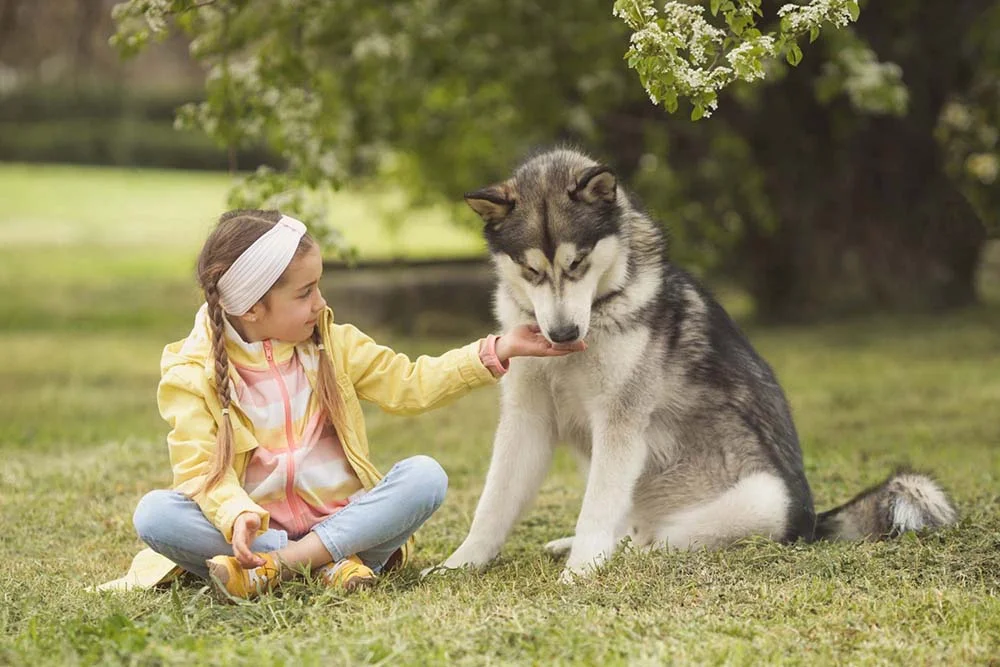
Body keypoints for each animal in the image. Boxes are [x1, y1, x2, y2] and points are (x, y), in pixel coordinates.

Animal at [434, 147, 956, 584]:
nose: (562, 334)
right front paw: (461, 563)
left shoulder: (621, 423)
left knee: (657, 541)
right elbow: (495, 503)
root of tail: (813, 524)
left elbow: (596, 511)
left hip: (761, 496)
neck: (601, 310)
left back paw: (622, 554)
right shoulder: (528, 417)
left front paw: (580, 572)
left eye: (577, 263)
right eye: (531, 271)